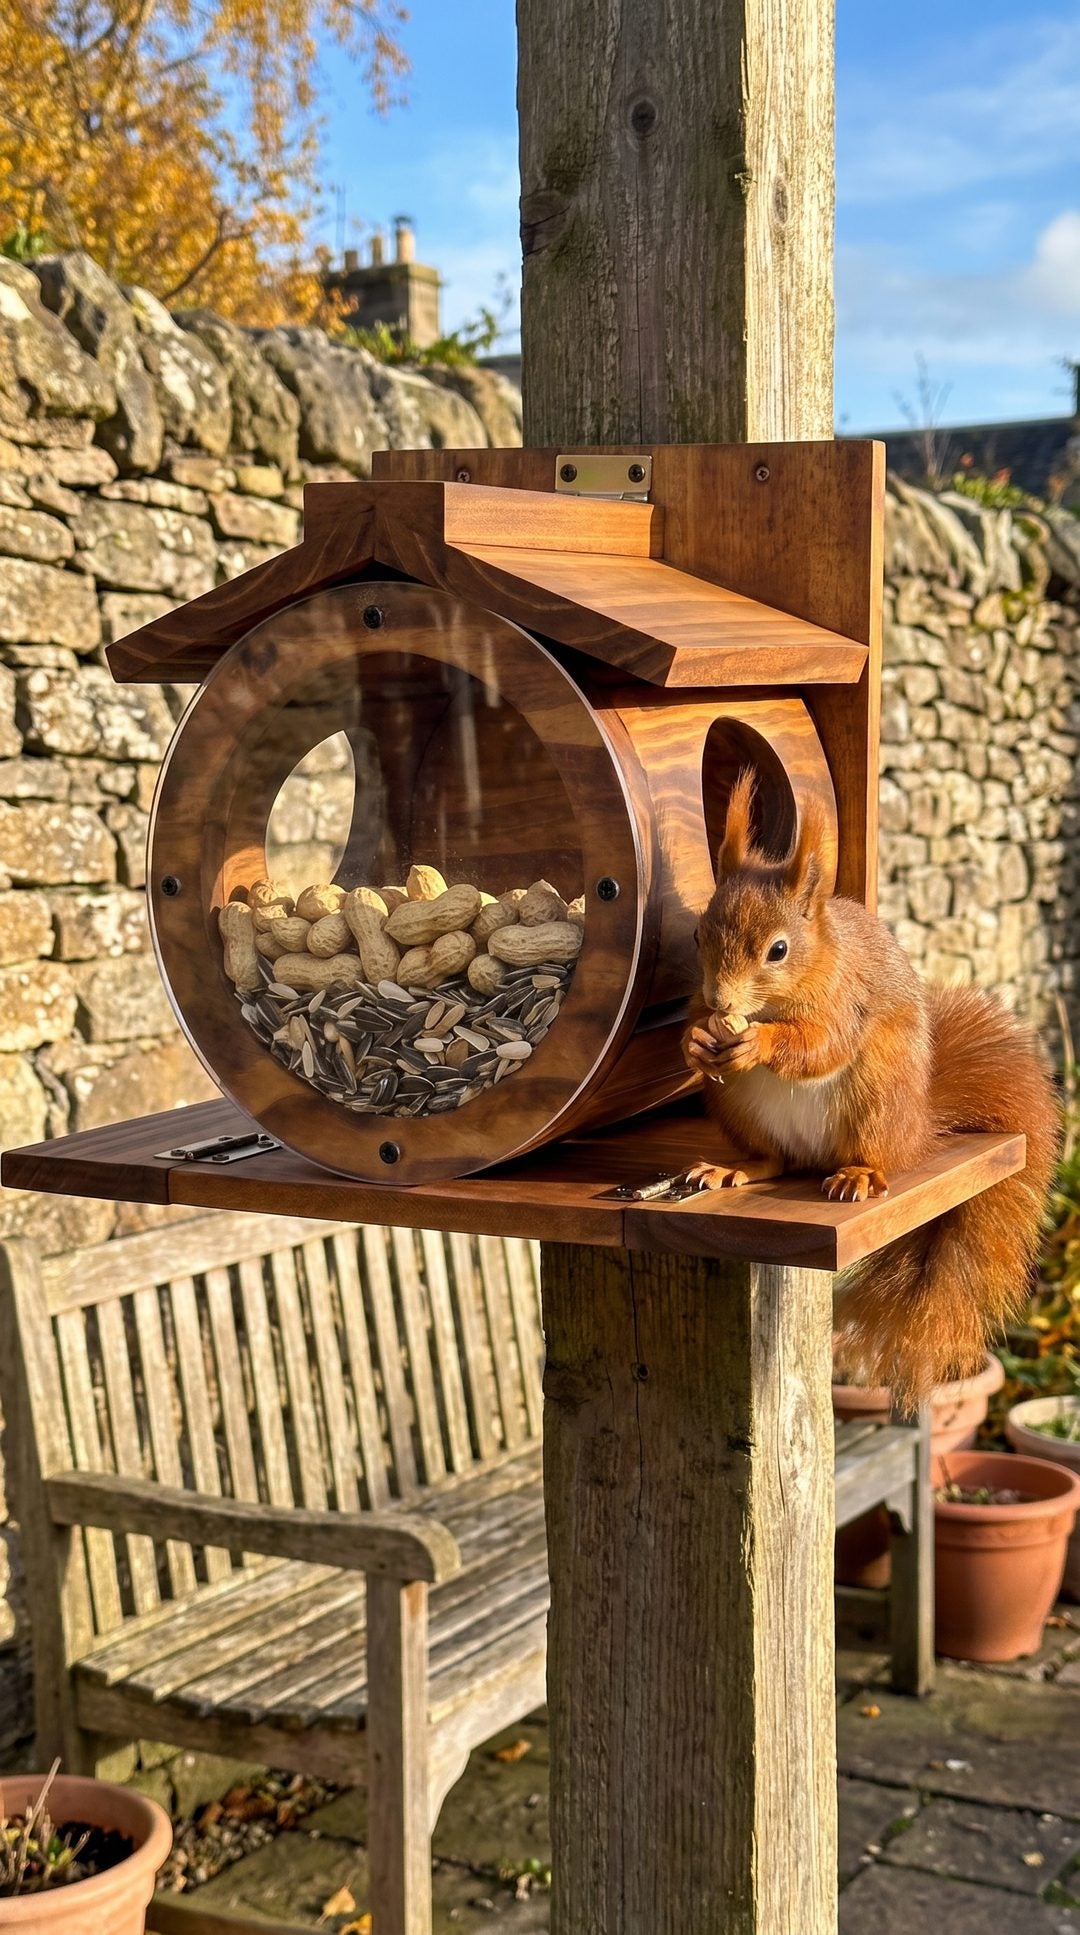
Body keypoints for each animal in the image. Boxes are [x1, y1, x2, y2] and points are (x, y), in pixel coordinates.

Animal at [682, 770, 1061, 1407]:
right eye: (696, 933)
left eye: (778, 950)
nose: (720, 1001)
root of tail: (918, 1129)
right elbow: (693, 1028)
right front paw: (694, 1040)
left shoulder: (845, 1001)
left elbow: (820, 1046)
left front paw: (758, 1044)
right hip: (740, 1110)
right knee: (774, 1160)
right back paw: (733, 1169)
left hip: (876, 1095)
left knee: (873, 1153)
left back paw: (858, 1174)